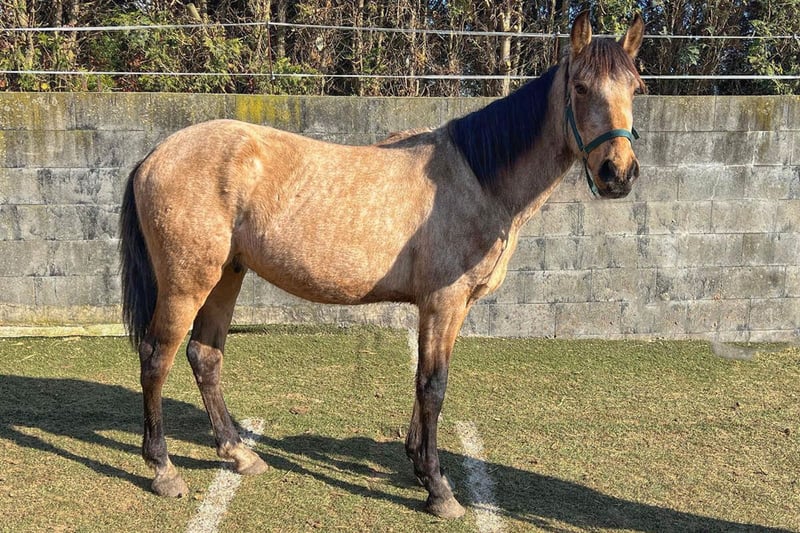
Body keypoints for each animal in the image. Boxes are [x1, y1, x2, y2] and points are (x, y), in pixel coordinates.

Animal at [119, 11, 645, 519]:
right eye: (581, 87)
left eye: (636, 87)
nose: (618, 174)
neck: (476, 178)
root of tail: (154, 156)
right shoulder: (443, 302)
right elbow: (433, 385)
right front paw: (438, 489)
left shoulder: (447, 308)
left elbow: (425, 382)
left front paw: (417, 463)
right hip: (187, 283)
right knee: (156, 358)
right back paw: (164, 469)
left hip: (227, 275)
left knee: (204, 357)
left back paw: (239, 453)